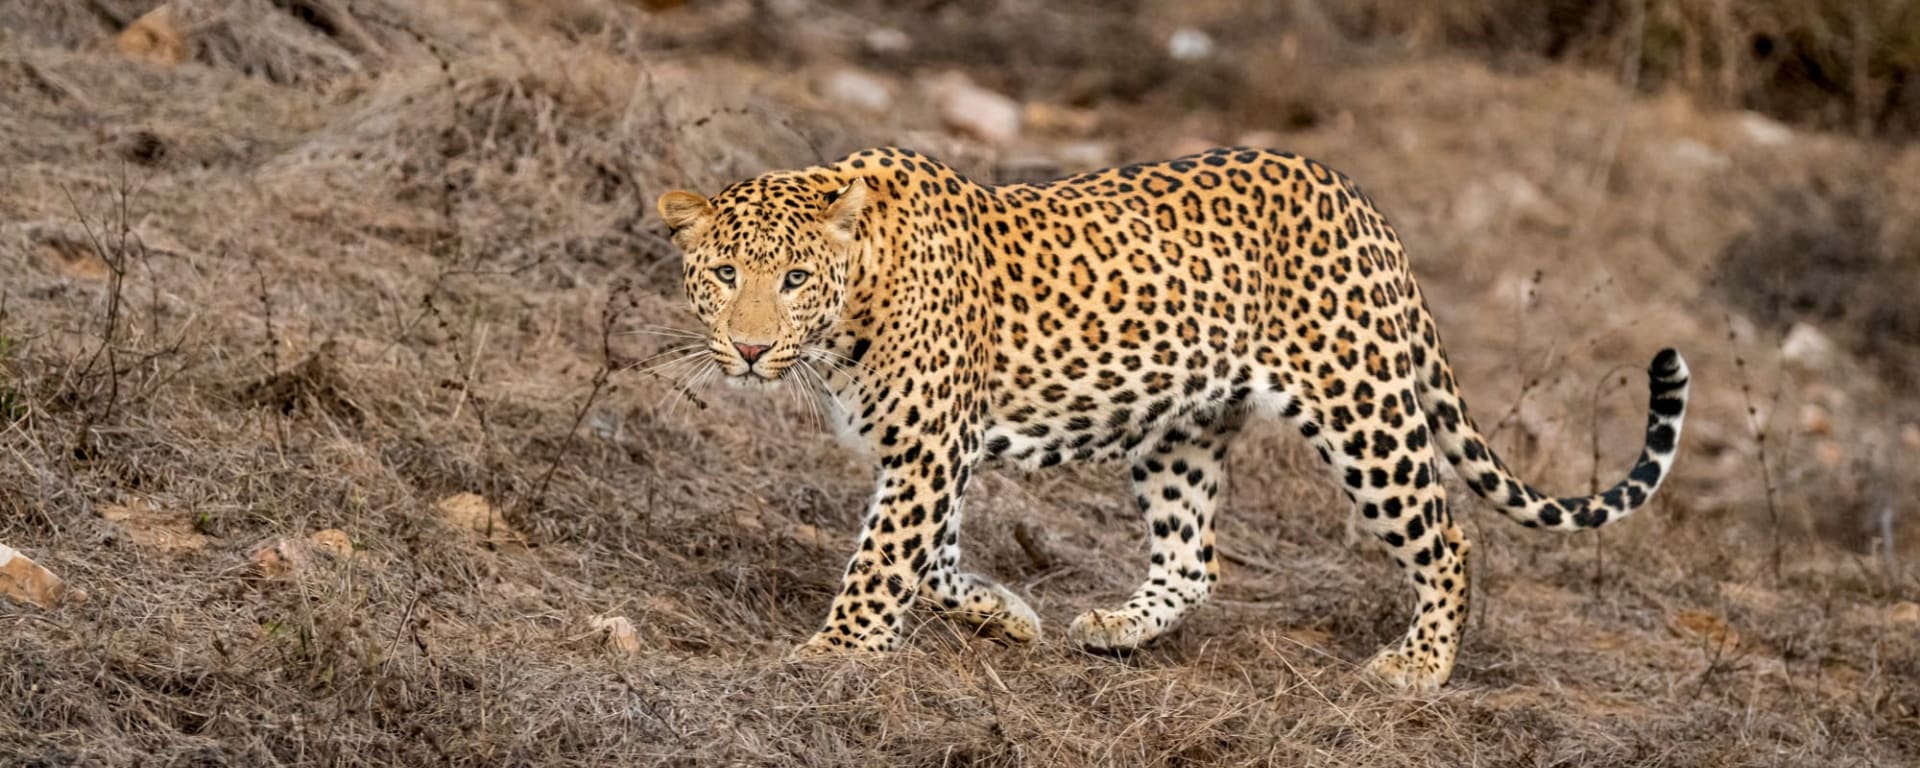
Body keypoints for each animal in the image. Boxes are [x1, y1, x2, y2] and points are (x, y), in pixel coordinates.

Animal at [654, 146, 1690, 690]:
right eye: (724, 274)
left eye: (794, 278)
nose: (750, 349)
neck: (849, 310)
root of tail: (1365, 204)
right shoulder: (929, 454)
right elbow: (933, 557)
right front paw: (1006, 617)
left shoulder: (929, 448)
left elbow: (881, 558)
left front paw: (833, 654)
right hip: (1183, 427)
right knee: (1195, 559)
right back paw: (1117, 627)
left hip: (1362, 407)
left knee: (1449, 534)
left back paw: (1419, 666)